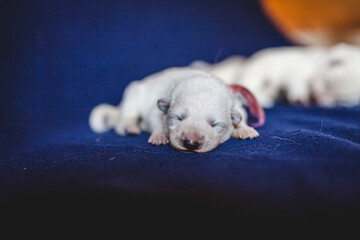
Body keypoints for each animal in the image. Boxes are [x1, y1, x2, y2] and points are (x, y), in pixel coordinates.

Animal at [88, 67, 260, 154]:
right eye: (178, 117)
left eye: (215, 124)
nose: (190, 143)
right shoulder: (157, 106)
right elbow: (154, 119)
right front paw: (159, 135)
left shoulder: (236, 104)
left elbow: (242, 116)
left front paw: (244, 129)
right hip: (133, 94)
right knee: (124, 119)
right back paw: (130, 127)